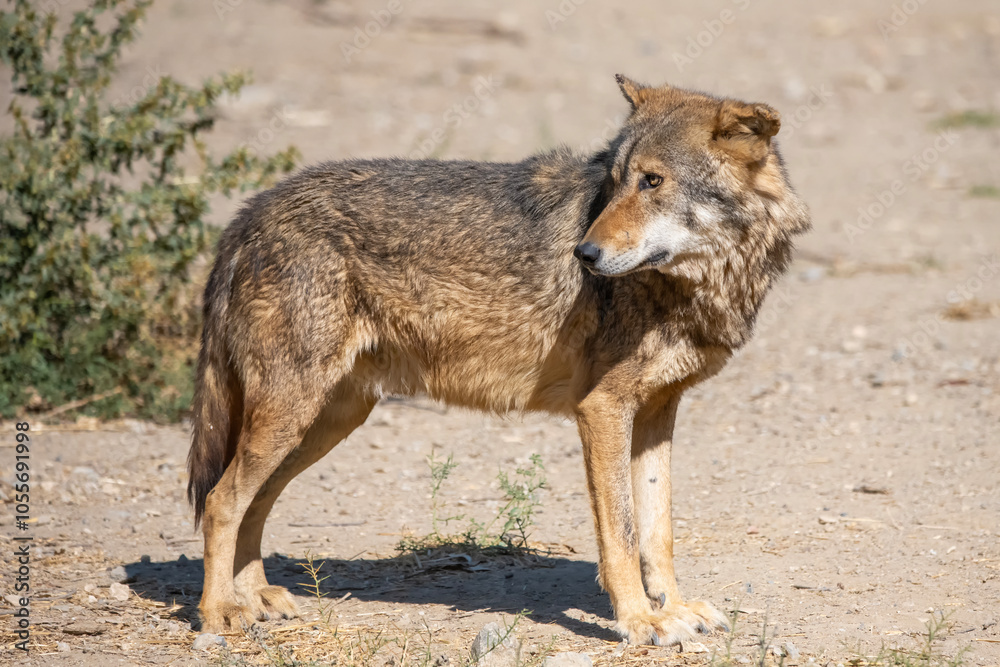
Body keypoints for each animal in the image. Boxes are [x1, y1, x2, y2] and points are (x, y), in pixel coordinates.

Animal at [186, 75, 810, 645]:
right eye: (614, 184)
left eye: (653, 182)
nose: (584, 254)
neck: (698, 282)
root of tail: (246, 215)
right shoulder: (603, 409)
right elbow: (623, 534)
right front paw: (638, 621)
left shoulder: (657, 412)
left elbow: (658, 531)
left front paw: (674, 610)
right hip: (292, 416)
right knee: (220, 501)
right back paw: (220, 612)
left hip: (325, 421)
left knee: (255, 502)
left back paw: (256, 597)